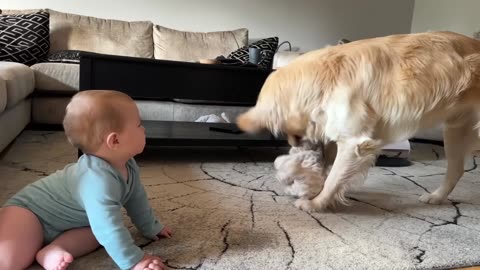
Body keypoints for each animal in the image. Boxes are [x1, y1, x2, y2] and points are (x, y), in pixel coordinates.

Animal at [238, 31, 480, 212]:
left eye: (287, 131)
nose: (295, 145)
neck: (324, 78)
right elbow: (333, 169)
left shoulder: (353, 142)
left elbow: (333, 178)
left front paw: (316, 203)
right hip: (454, 129)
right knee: (456, 169)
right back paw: (436, 197)